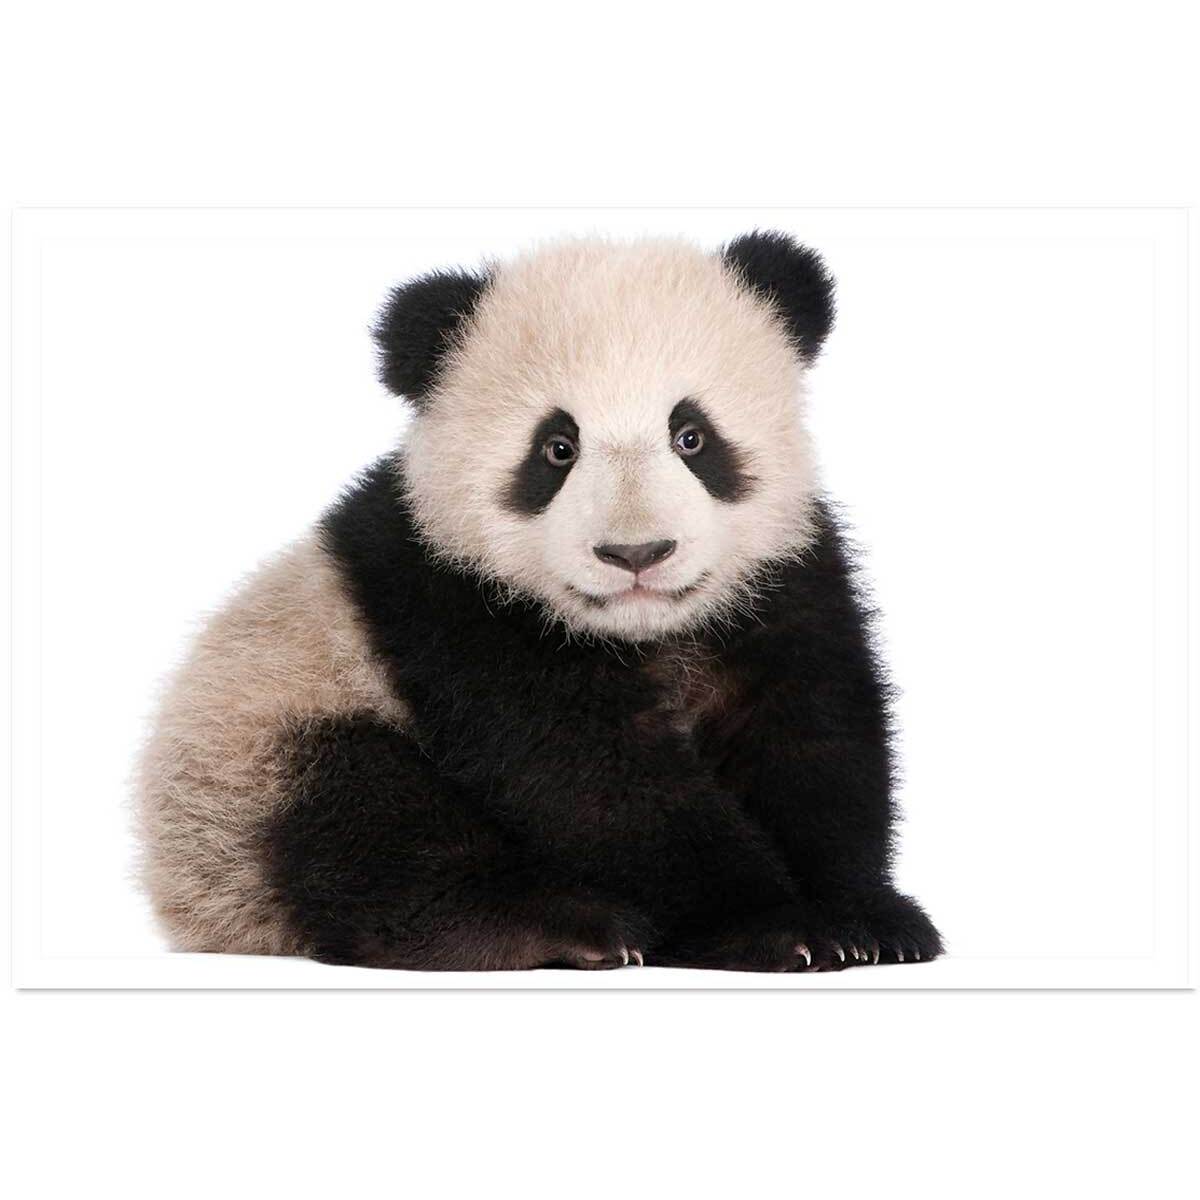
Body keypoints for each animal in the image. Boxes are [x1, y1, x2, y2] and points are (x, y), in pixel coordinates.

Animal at [135, 230, 943, 972]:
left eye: (691, 436)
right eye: (557, 448)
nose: (636, 554)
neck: (645, 631)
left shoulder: (780, 581)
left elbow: (813, 733)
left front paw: (866, 918)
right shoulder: (452, 605)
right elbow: (587, 773)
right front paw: (773, 923)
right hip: (254, 754)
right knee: (366, 825)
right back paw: (556, 927)